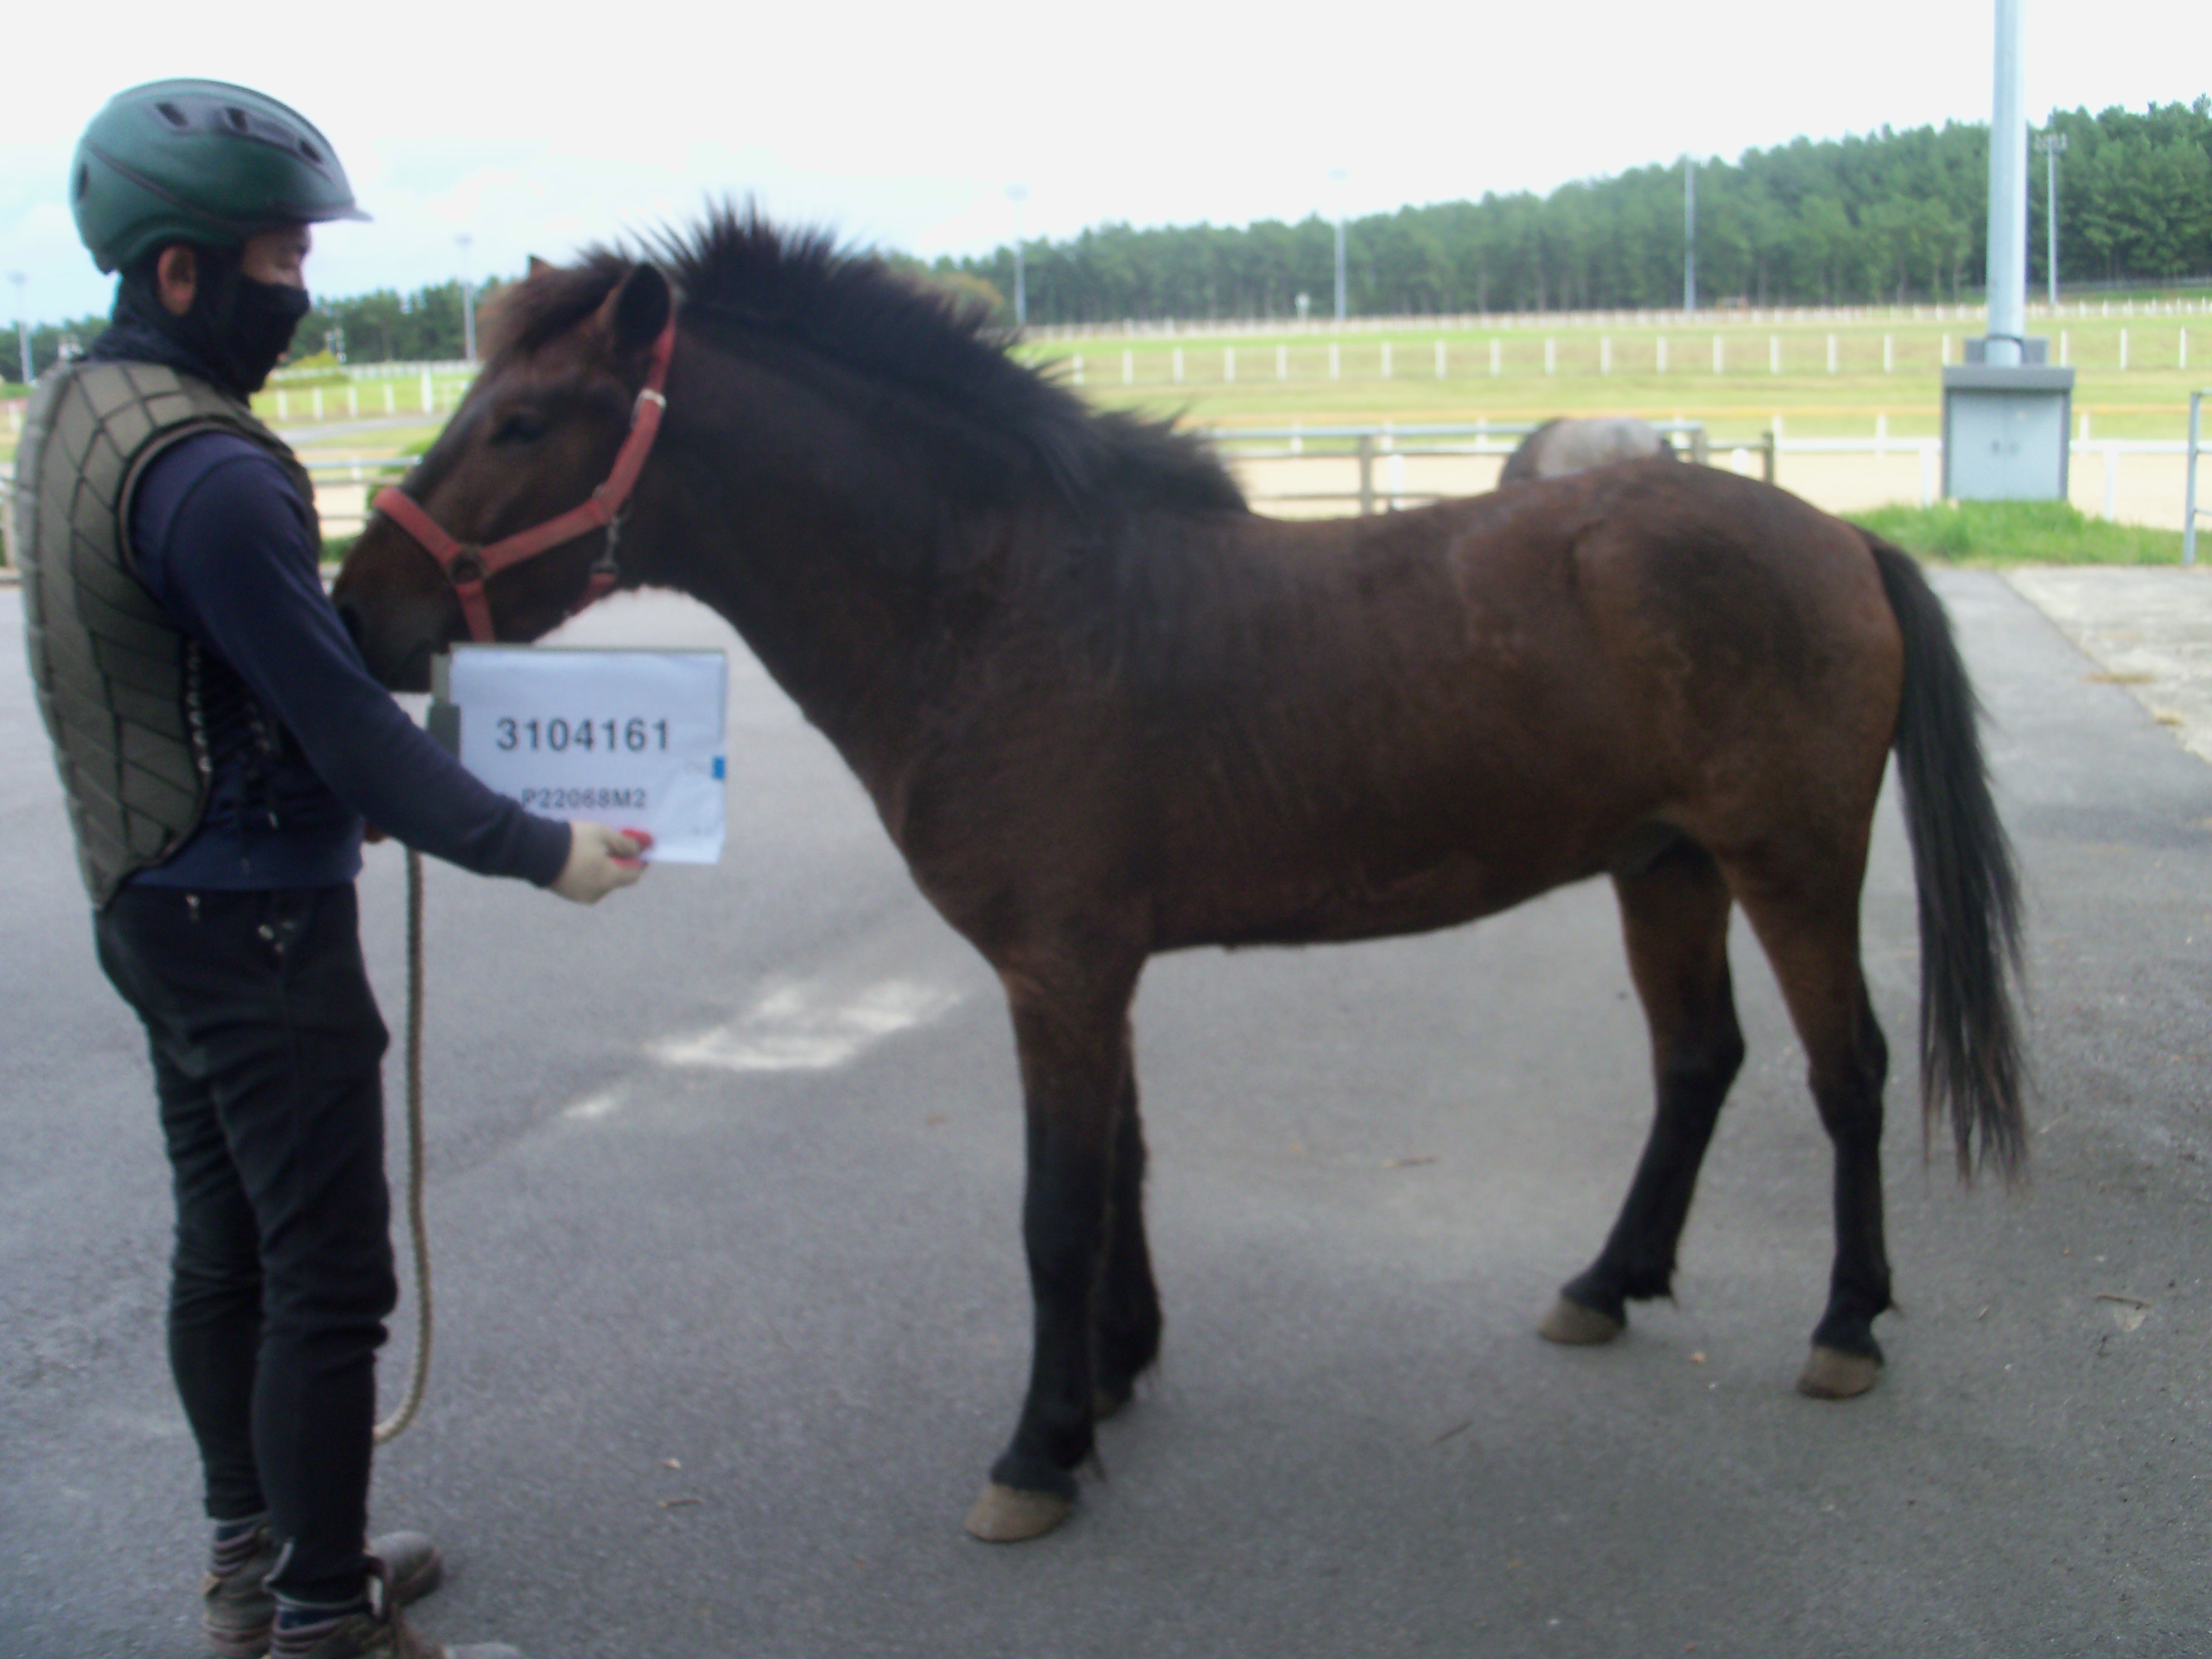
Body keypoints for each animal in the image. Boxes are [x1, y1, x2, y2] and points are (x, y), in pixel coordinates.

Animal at [327, 214, 2026, 1557]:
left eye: (524, 422)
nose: (362, 616)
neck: (993, 601)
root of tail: (1840, 537)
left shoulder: (1056, 970)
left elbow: (1054, 1206)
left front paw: (1037, 1451)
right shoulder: (1092, 965)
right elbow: (1121, 1172)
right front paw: (1109, 1377)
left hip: (1787, 863)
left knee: (1847, 1072)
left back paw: (1845, 1324)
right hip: (1662, 867)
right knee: (1697, 1063)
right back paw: (1608, 1283)